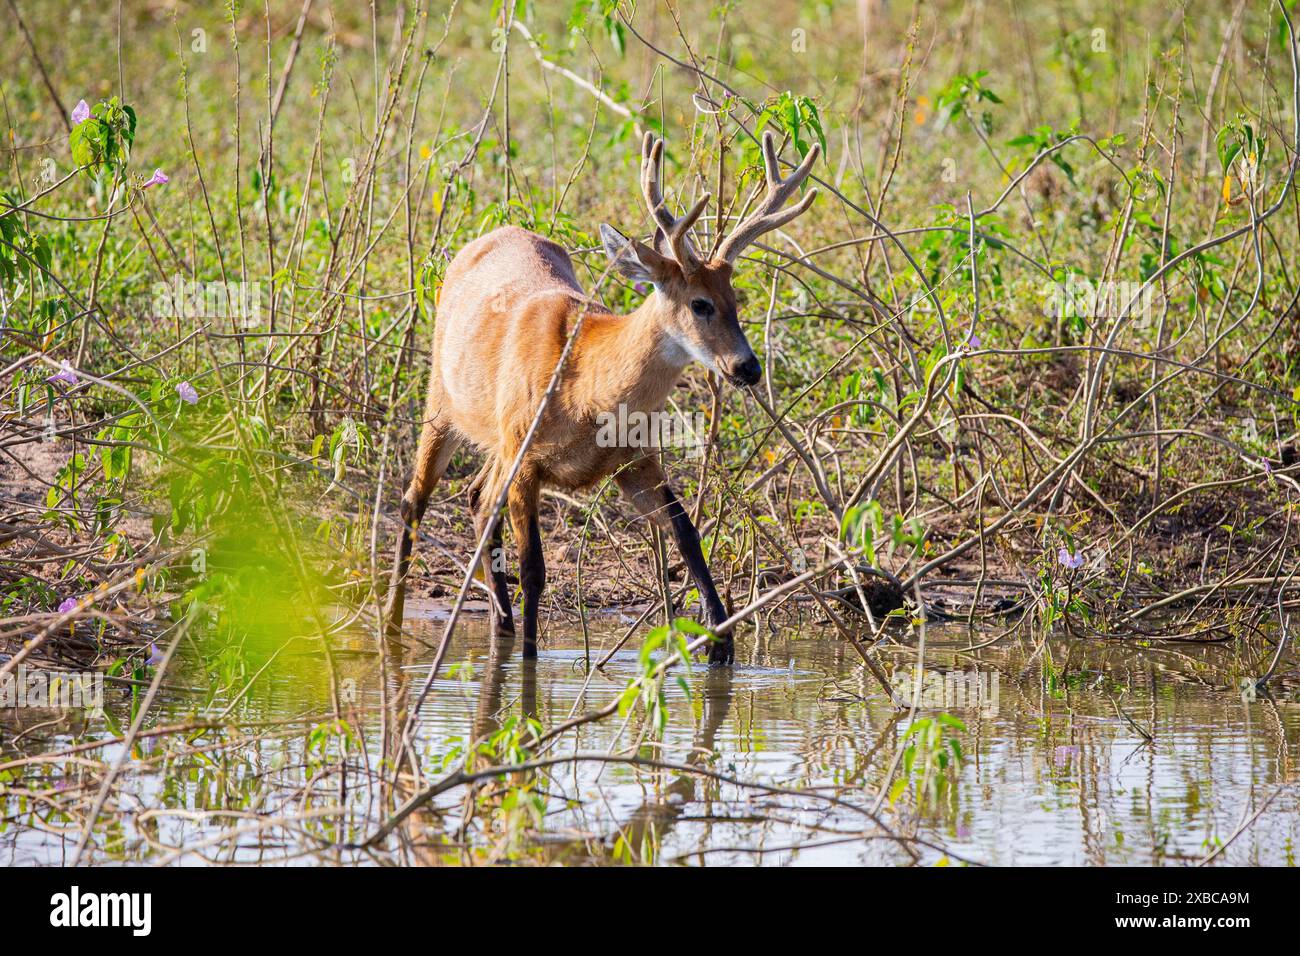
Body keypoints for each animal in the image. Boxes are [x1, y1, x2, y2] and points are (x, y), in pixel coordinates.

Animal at [385, 130, 819, 665]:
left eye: (736, 301)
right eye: (700, 304)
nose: (748, 368)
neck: (585, 391)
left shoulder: (631, 458)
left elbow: (686, 531)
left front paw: (720, 641)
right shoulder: (526, 458)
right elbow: (534, 568)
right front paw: (529, 663)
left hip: (496, 438)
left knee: (478, 498)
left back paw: (500, 625)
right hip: (443, 402)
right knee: (414, 500)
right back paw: (394, 623)